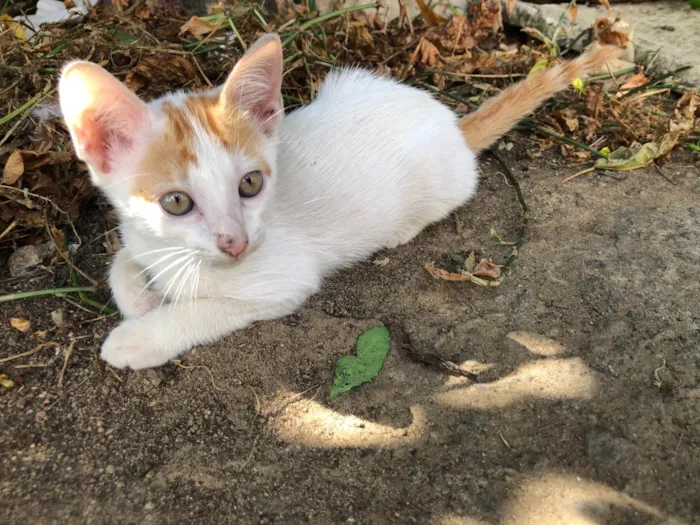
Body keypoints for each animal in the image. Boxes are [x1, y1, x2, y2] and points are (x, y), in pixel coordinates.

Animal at [58, 32, 616, 368]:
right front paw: (138, 294)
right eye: (176, 203)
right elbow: (121, 258)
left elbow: (205, 311)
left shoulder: (283, 280)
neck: (179, 258)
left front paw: (138, 336)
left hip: (437, 179)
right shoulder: (140, 235)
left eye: (250, 184)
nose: (235, 243)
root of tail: (452, 123)